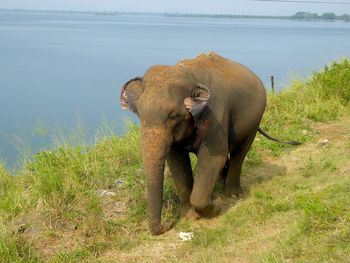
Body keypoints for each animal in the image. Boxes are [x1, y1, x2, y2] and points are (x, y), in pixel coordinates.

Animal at [119, 52, 300, 235]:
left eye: (173, 116)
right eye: (140, 113)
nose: (168, 223)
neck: (191, 76)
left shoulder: (215, 114)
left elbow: (213, 159)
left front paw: (216, 204)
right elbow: (177, 163)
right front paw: (191, 215)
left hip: (255, 119)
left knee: (240, 152)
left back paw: (233, 194)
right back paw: (219, 183)